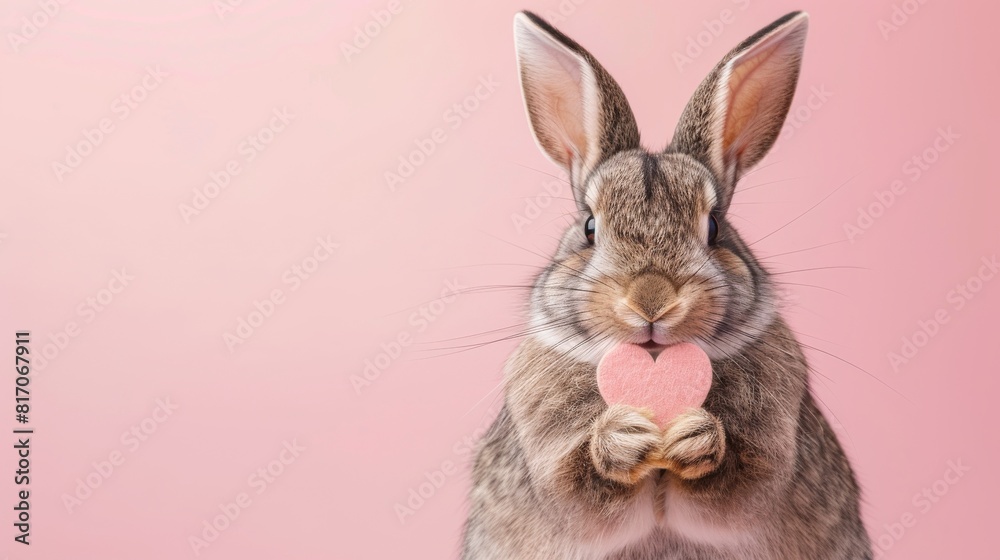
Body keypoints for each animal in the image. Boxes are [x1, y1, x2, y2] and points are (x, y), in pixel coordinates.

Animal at [461, 10, 872, 560]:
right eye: (589, 227)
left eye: (714, 227)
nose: (651, 299)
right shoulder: (547, 466)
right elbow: (577, 488)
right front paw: (624, 436)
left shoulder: (771, 458)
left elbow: (738, 484)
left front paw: (695, 437)